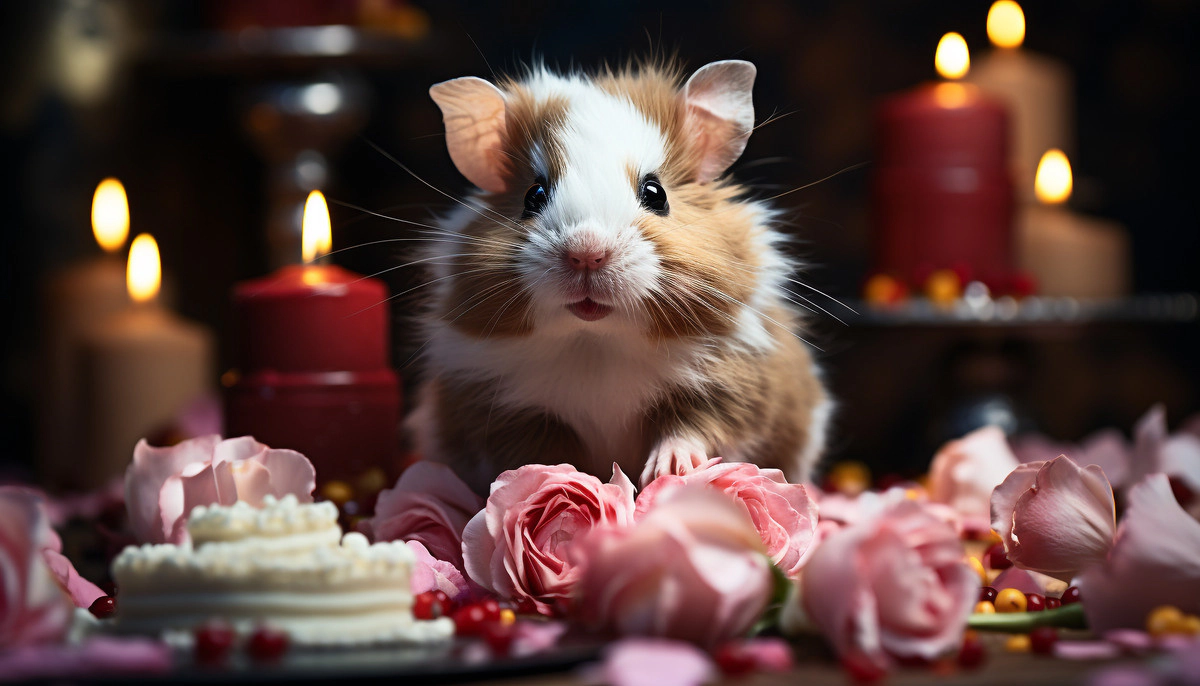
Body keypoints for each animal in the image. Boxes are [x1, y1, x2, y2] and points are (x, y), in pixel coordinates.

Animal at [406, 59, 831, 494]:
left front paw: (668, 472)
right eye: (533, 196)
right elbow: (539, 452)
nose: (586, 253)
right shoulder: (504, 408)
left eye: (655, 193)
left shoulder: (732, 385)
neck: (598, 341)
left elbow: (691, 427)